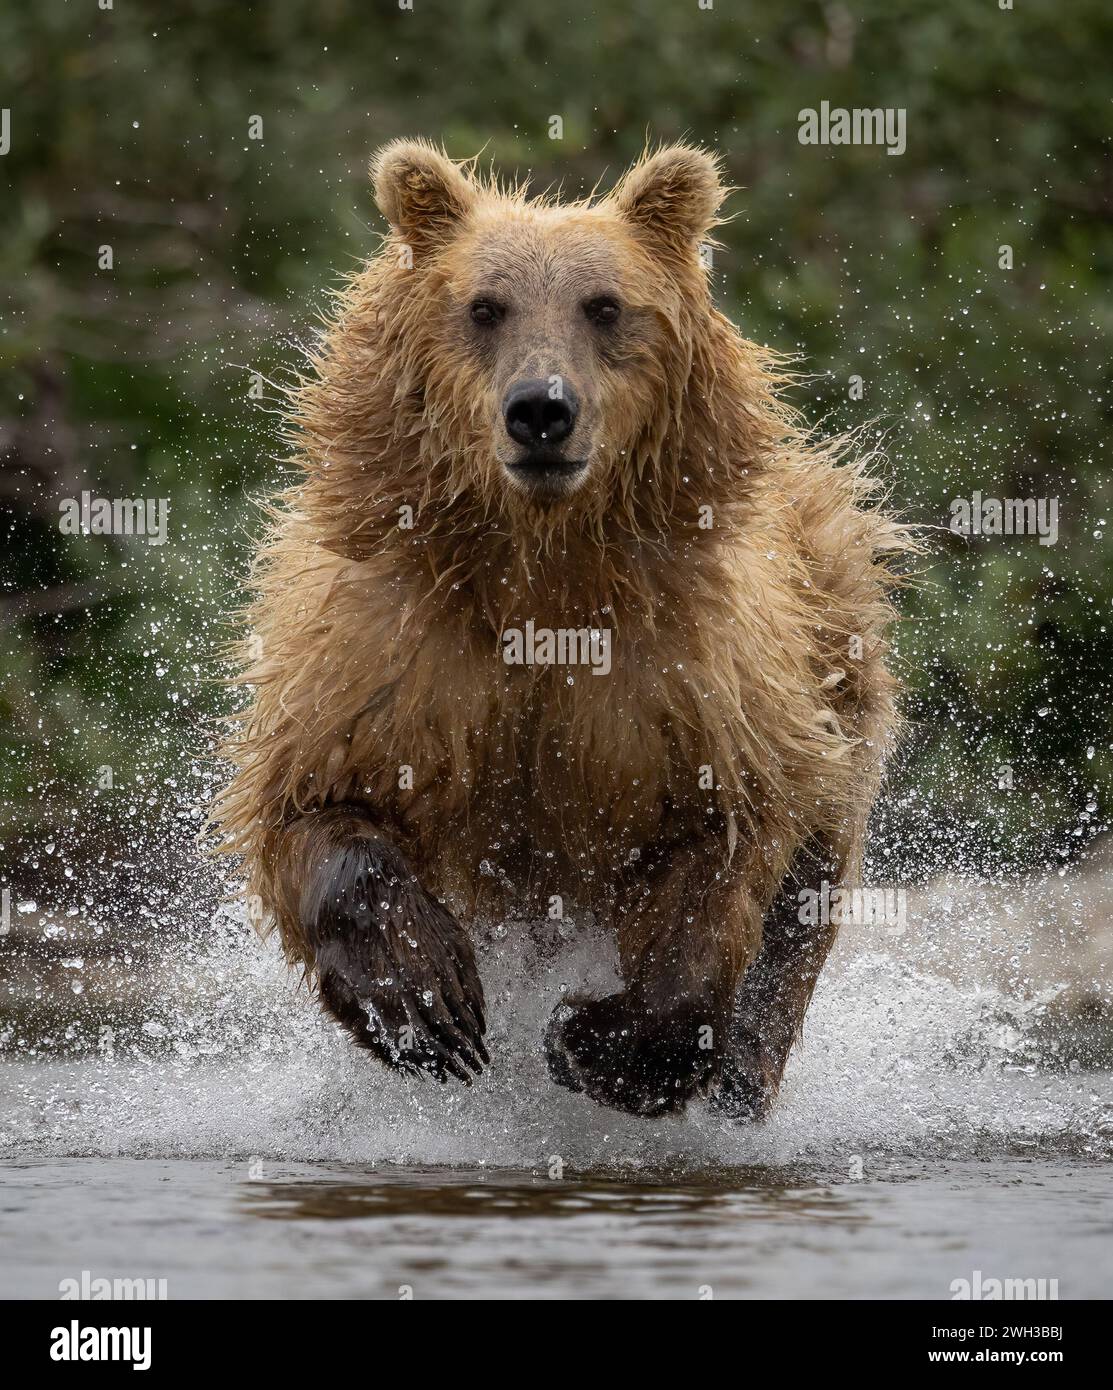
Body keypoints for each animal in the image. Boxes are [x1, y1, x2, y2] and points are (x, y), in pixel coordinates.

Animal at [210, 140, 907, 1119]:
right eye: (484, 306)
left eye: (604, 305)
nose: (541, 409)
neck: (543, 579)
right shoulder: (386, 655)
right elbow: (319, 802)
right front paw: (429, 1008)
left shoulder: (694, 689)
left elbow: (722, 853)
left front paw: (594, 1041)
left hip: (838, 652)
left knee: (804, 901)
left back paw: (740, 1073)